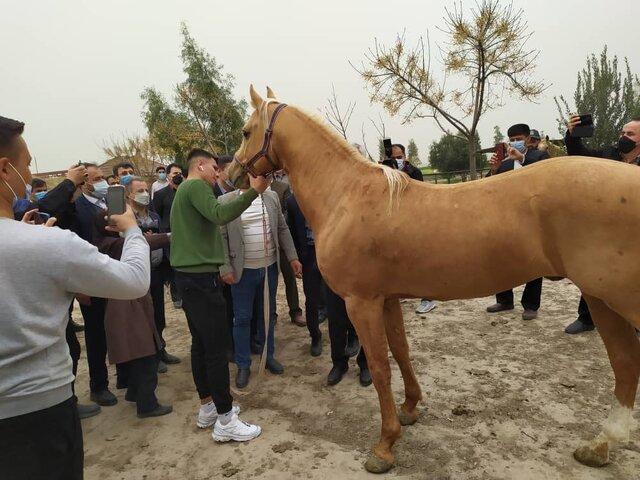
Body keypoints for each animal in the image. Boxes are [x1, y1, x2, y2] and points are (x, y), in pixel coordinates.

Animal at [230, 85, 640, 472]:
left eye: (246, 131)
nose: (234, 175)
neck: (347, 196)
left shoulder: (361, 302)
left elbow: (379, 367)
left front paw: (384, 445)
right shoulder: (387, 298)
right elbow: (401, 351)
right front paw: (410, 409)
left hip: (615, 299)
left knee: (624, 363)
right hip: (602, 300)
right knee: (624, 363)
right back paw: (600, 446)